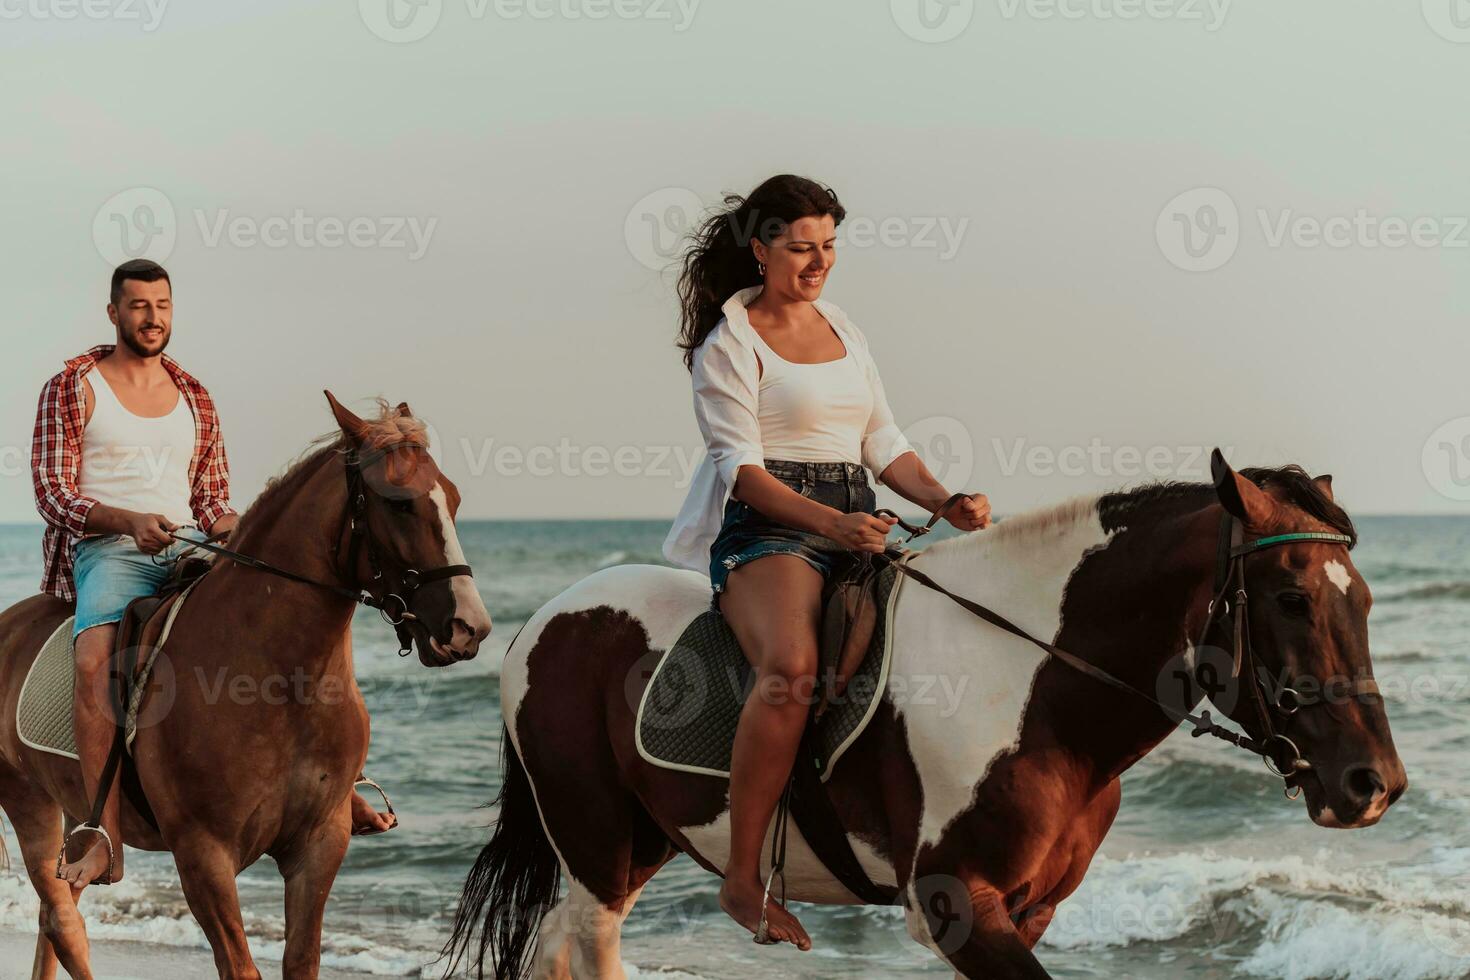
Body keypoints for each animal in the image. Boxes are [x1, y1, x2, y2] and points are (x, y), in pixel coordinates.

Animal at [0, 393, 493, 980]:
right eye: (399, 505)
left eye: (454, 498)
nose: (469, 627)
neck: (277, 684)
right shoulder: (203, 856)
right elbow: (240, 967)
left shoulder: (320, 845)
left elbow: (301, 960)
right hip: (29, 804)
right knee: (63, 922)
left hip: (74, 813)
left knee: (54, 922)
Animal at [443, 455, 1399, 975]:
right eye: (1290, 599)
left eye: (1364, 600)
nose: (1374, 784)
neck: (1029, 684)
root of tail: (547, 619)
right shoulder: (955, 904)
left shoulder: (1028, 909)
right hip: (598, 846)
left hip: (637, 847)